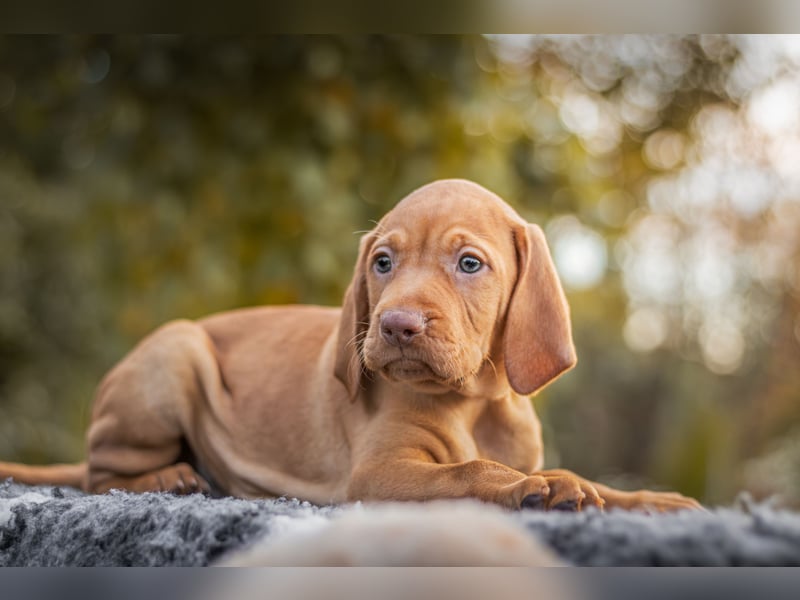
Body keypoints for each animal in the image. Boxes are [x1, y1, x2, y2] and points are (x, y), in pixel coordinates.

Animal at [0, 178, 696, 510]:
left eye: (470, 264)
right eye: (383, 262)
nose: (397, 327)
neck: (474, 403)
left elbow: (594, 481)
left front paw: (648, 499)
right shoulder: (379, 473)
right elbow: (472, 469)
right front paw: (537, 488)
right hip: (177, 353)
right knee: (99, 473)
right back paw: (171, 476)